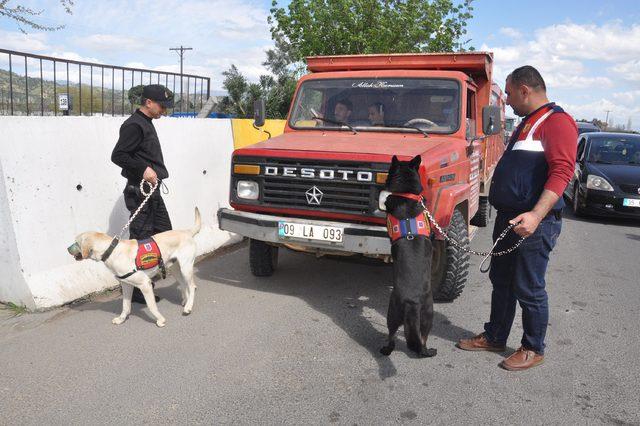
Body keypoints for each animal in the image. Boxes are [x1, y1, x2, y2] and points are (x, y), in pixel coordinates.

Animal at [69, 206, 201, 326]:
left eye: (76, 242)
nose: (67, 249)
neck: (111, 250)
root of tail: (186, 231)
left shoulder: (145, 284)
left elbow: (151, 306)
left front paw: (160, 319)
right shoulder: (126, 284)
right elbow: (125, 306)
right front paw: (121, 319)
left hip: (185, 267)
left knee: (192, 286)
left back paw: (188, 307)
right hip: (174, 268)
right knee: (184, 284)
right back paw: (186, 301)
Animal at [382, 155, 438, 358]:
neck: (407, 194)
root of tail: (411, 302)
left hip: (393, 312)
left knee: (391, 335)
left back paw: (386, 350)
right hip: (428, 314)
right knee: (422, 339)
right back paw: (427, 350)